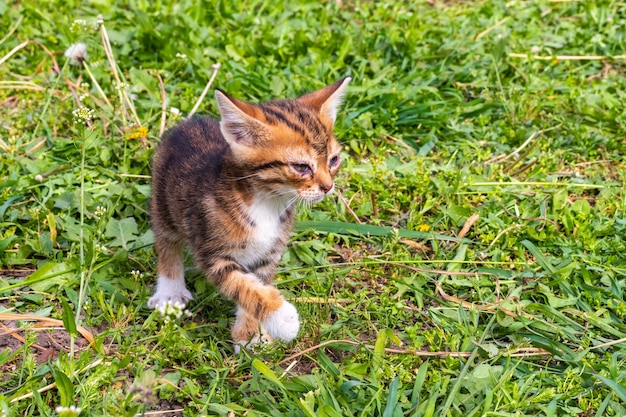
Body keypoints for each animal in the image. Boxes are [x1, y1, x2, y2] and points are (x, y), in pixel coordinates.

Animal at [148, 76, 348, 350]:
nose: (328, 187)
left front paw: (250, 335)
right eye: (301, 167)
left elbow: (256, 285)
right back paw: (169, 290)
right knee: (167, 242)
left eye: (334, 160)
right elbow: (242, 285)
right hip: (164, 205)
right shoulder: (213, 252)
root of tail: (190, 121)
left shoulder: (268, 253)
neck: (267, 203)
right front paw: (282, 319)